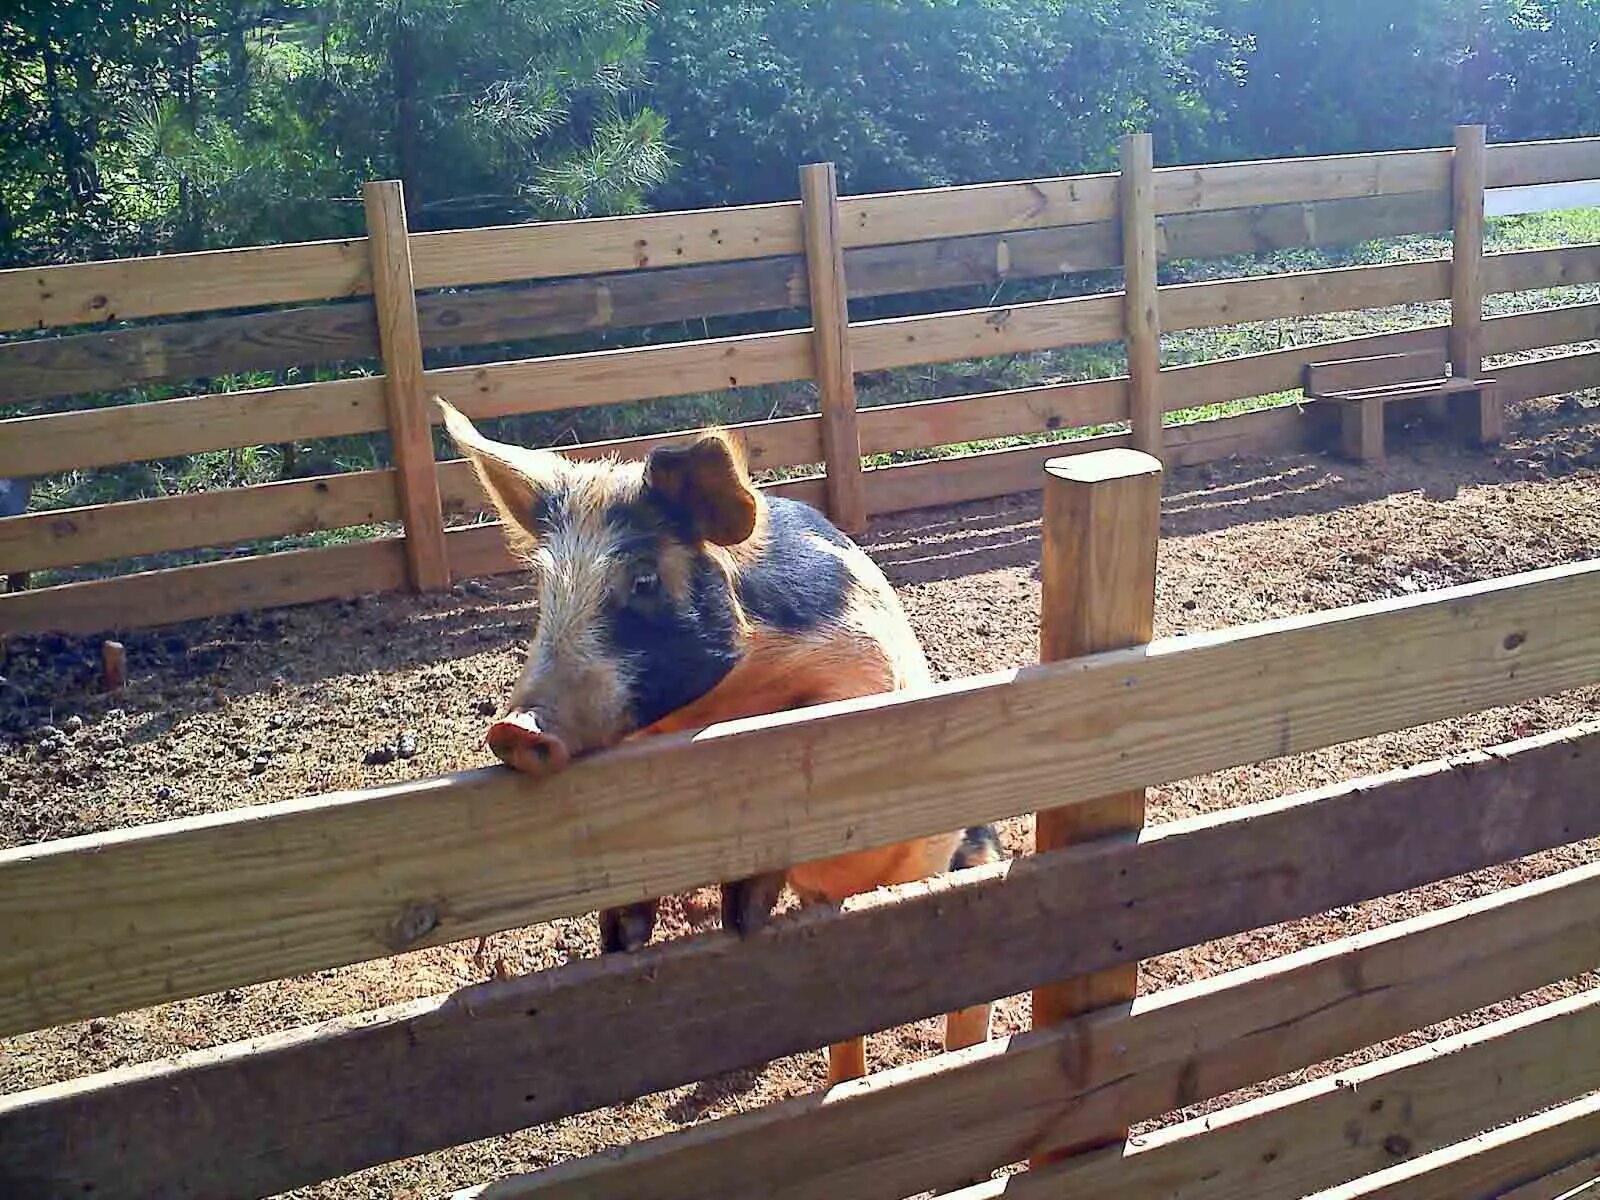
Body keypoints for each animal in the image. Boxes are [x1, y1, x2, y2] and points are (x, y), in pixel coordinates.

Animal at [432, 400, 992, 1088]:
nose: (514, 730)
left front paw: (743, 919)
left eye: (645, 579)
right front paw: (624, 938)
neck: (722, 704)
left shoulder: (863, 678)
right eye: (545, 590)